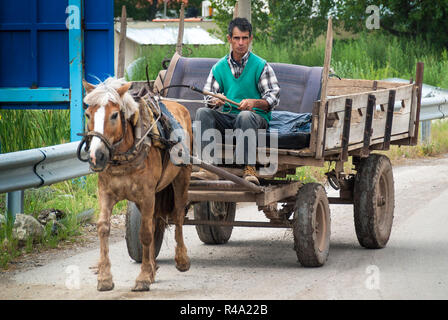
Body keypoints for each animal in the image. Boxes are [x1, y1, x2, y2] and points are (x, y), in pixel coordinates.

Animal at [81, 76, 192, 292]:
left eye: (115, 115)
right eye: (88, 114)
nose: (96, 156)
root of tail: (179, 106)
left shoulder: (146, 195)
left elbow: (146, 233)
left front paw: (143, 277)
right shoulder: (106, 192)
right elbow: (103, 227)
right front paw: (105, 278)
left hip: (182, 178)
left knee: (178, 215)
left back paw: (181, 259)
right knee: (154, 220)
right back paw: (153, 267)